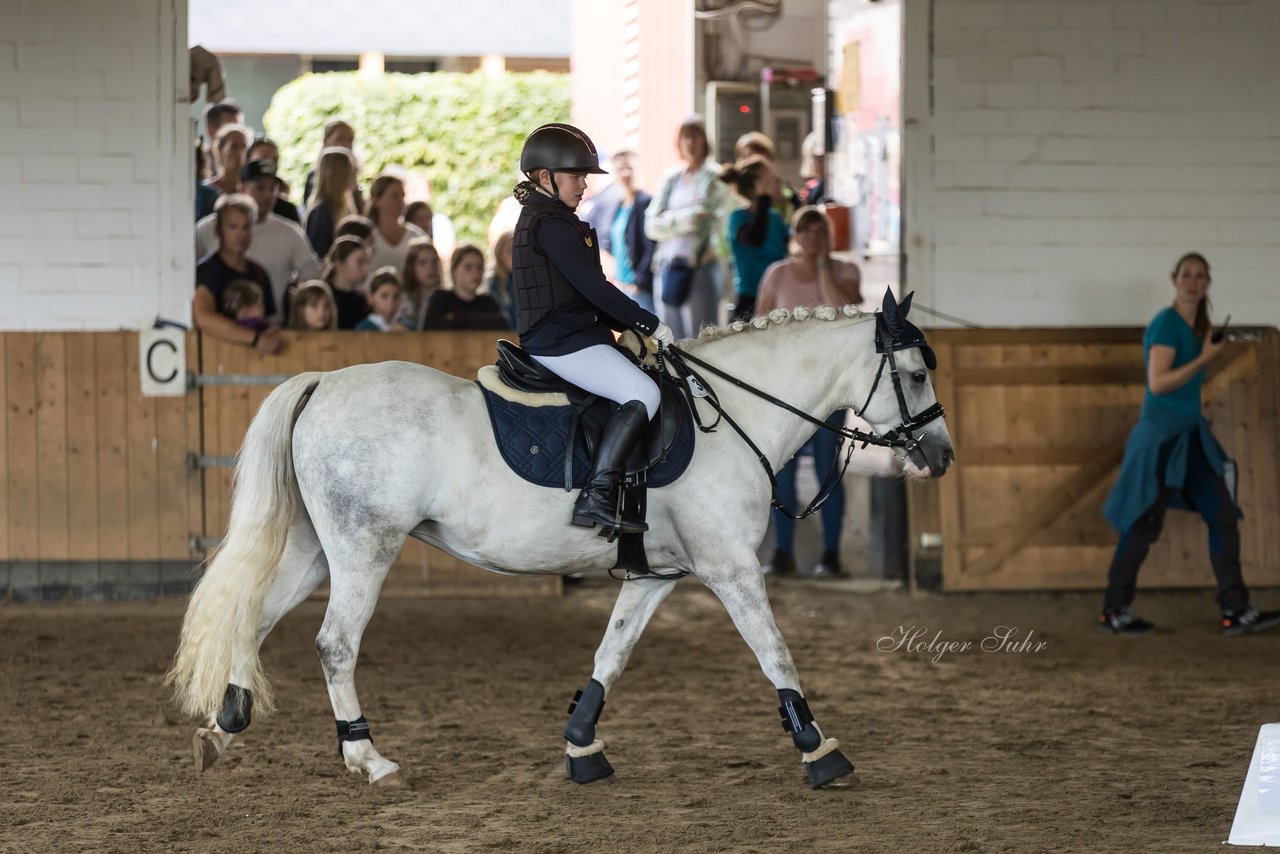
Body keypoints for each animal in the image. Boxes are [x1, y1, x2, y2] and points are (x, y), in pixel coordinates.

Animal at [167, 297, 952, 793]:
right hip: (365, 547)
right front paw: (821, 752)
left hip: (314, 550)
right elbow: (775, 653)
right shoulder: (729, 568)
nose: (941, 456)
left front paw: (582, 746)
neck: (731, 416)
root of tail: (323, 381)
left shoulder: (656, 574)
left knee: (255, 618)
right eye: (915, 375)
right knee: (334, 643)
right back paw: (368, 758)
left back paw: (222, 730)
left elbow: (612, 654)